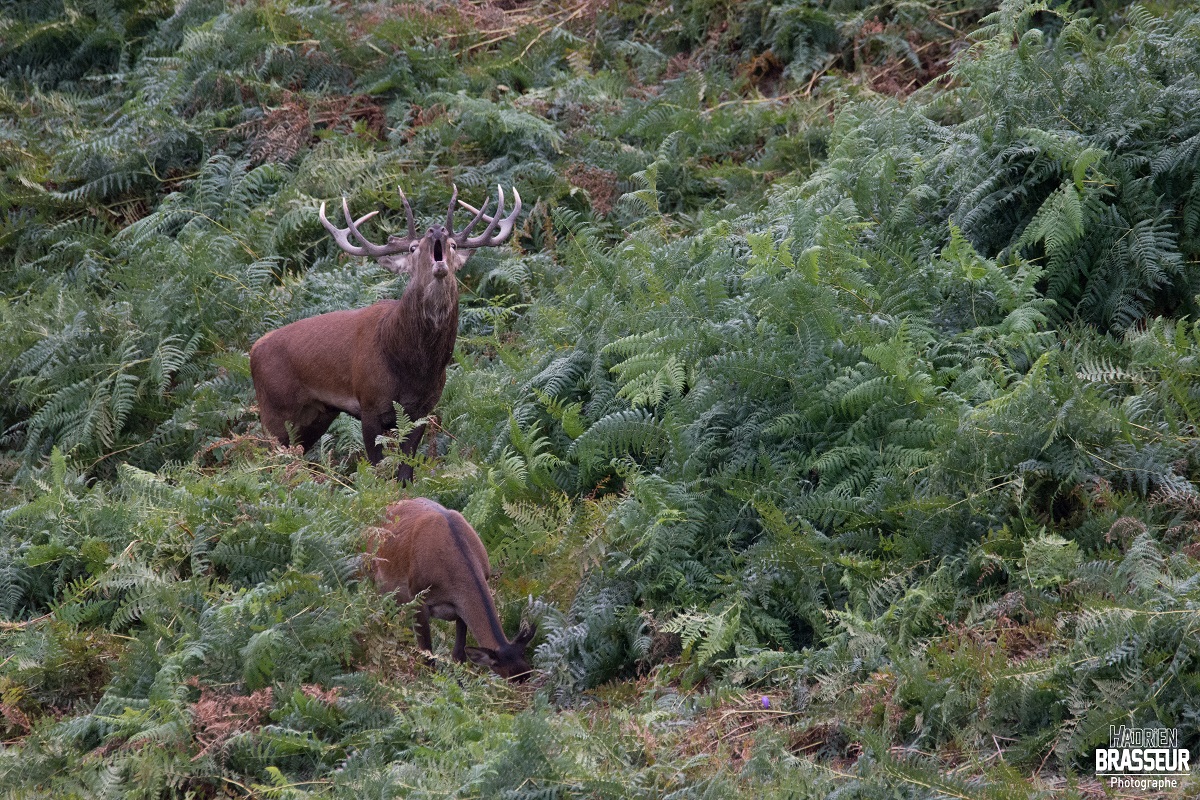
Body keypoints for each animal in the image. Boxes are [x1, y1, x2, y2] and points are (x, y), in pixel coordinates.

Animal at [250, 184, 518, 482]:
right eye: (413, 248)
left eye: (454, 245)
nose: (436, 230)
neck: (411, 367)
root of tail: (252, 352)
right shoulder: (369, 403)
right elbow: (377, 470)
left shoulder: (423, 410)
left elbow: (405, 471)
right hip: (273, 412)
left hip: (315, 417)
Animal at [364, 496, 535, 681]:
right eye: (510, 677)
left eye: (528, 670)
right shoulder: (418, 597)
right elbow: (427, 656)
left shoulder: (460, 607)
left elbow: (458, 655)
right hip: (375, 580)